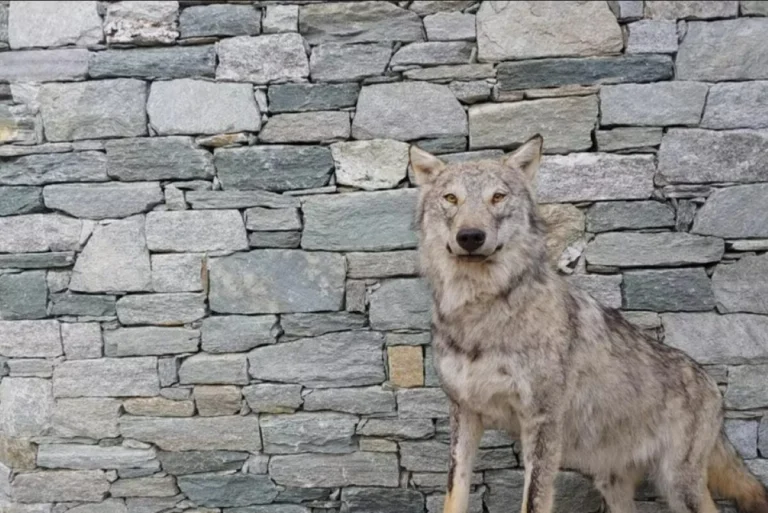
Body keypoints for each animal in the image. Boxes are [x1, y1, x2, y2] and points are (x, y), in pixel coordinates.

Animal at [409, 135, 768, 513]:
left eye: (498, 197)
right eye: (451, 199)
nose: (470, 236)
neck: (478, 311)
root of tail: (713, 386)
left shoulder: (542, 423)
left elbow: (533, 501)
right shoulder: (465, 414)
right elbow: (454, 494)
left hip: (678, 487)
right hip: (614, 485)